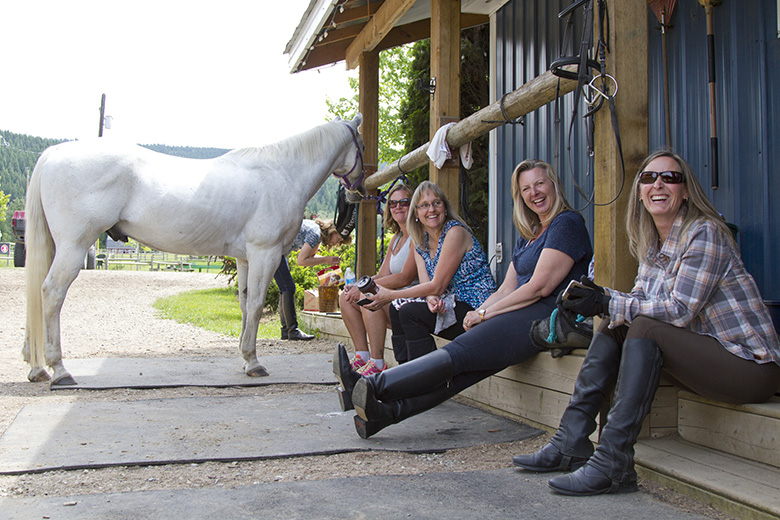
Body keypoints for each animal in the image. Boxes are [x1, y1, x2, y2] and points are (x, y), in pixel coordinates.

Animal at [24, 114, 366, 384]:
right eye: (362, 146)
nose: (360, 191)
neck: (283, 172)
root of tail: (52, 154)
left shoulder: (245, 258)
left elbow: (245, 306)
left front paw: (244, 358)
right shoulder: (265, 254)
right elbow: (256, 306)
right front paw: (254, 363)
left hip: (56, 247)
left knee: (37, 295)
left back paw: (36, 367)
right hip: (72, 247)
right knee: (51, 293)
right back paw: (59, 370)